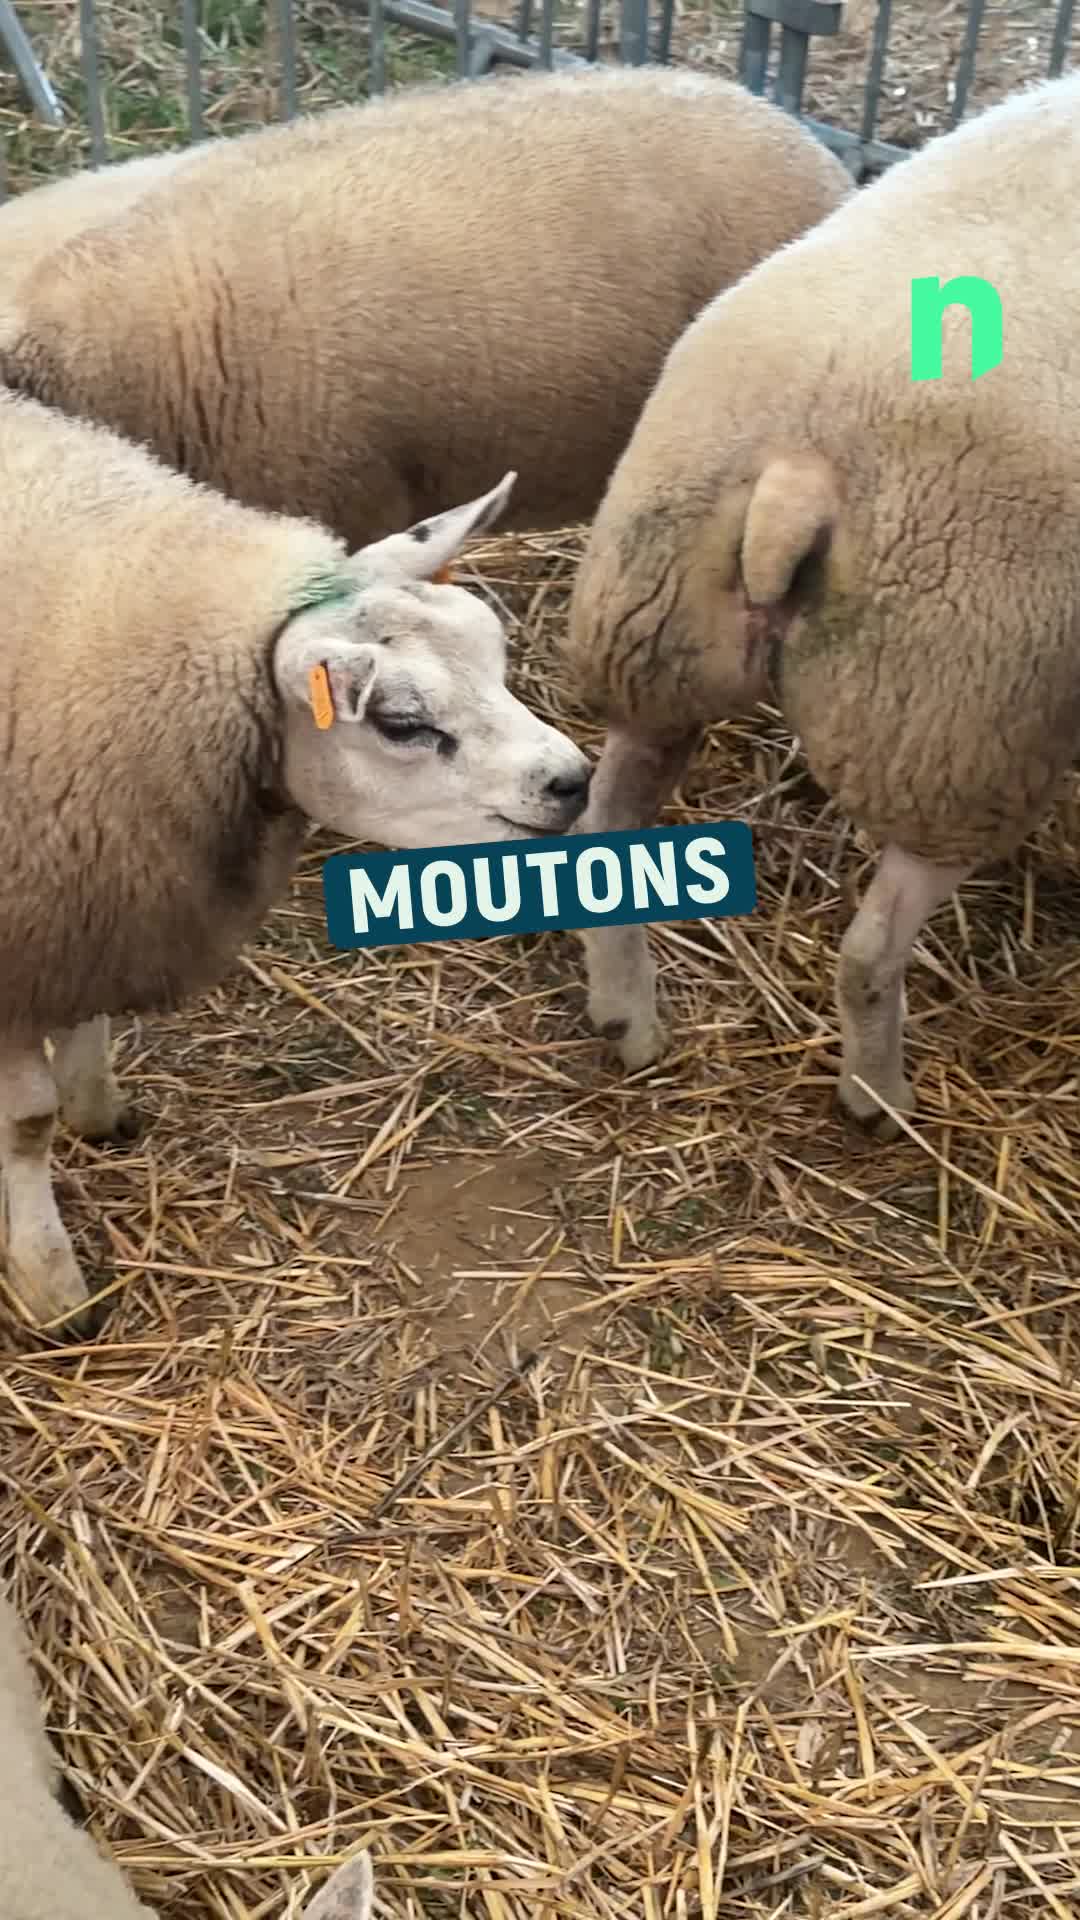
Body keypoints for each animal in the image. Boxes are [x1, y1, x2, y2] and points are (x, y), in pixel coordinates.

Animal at [0, 386, 590, 1334]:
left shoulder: (98, 888)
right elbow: (26, 1124)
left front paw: (99, 1109)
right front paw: (51, 1287)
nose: (571, 781)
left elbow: (89, 1025)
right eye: (400, 722)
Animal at [562, 69, 1080, 1135]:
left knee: (606, 829)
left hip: (657, 633)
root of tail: (799, 463)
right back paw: (879, 1097)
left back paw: (628, 1019)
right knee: (869, 953)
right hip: (955, 721)